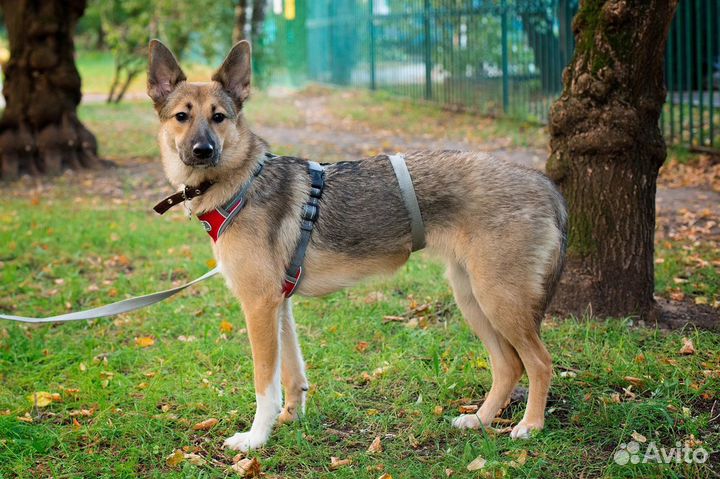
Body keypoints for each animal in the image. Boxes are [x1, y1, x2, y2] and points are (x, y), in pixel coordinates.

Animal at [146, 39, 568, 452]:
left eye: (219, 117)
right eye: (181, 117)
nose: (202, 150)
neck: (242, 181)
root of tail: (542, 182)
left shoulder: (259, 305)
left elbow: (265, 384)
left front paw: (255, 438)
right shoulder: (279, 305)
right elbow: (292, 374)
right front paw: (291, 419)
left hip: (499, 300)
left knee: (539, 361)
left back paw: (530, 425)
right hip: (472, 297)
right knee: (508, 365)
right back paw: (480, 419)